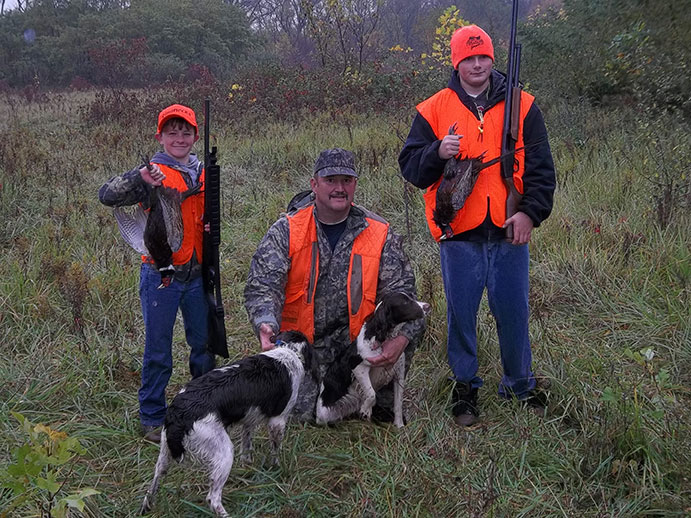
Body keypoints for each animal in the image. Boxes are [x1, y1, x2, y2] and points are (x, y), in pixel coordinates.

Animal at [139, 334, 312, 518]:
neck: (287, 352)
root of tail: (179, 413)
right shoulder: (278, 422)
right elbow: (275, 451)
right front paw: (276, 468)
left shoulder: (248, 420)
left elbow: (247, 446)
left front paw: (248, 466)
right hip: (224, 452)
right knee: (213, 498)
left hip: (164, 452)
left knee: (153, 483)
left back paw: (146, 507)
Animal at [316, 292, 430, 430]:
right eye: (405, 302)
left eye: (411, 298)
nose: (428, 306)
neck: (382, 339)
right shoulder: (358, 367)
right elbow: (371, 393)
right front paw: (366, 410)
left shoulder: (399, 372)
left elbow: (398, 403)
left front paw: (399, 425)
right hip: (324, 413)